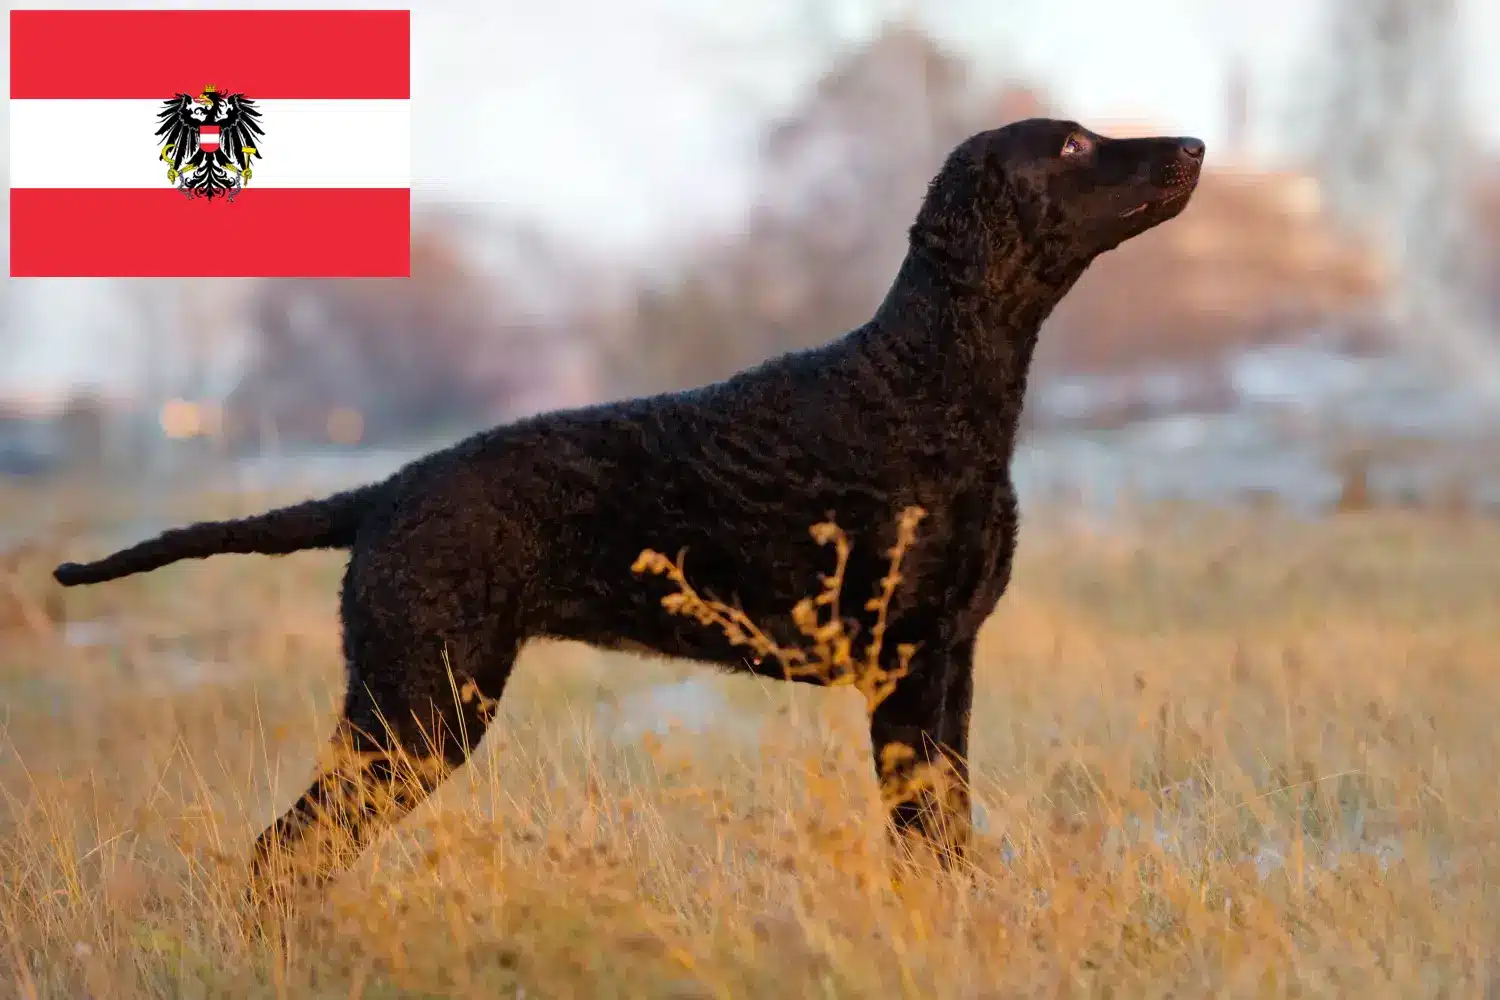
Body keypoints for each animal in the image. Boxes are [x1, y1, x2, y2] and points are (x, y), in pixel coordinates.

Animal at [52, 117, 1206, 893]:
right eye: (1071, 145)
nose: (1193, 145)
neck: (923, 379)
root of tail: (389, 489)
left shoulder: (949, 661)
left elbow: (951, 838)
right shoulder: (905, 665)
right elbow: (928, 843)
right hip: (420, 706)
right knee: (279, 852)